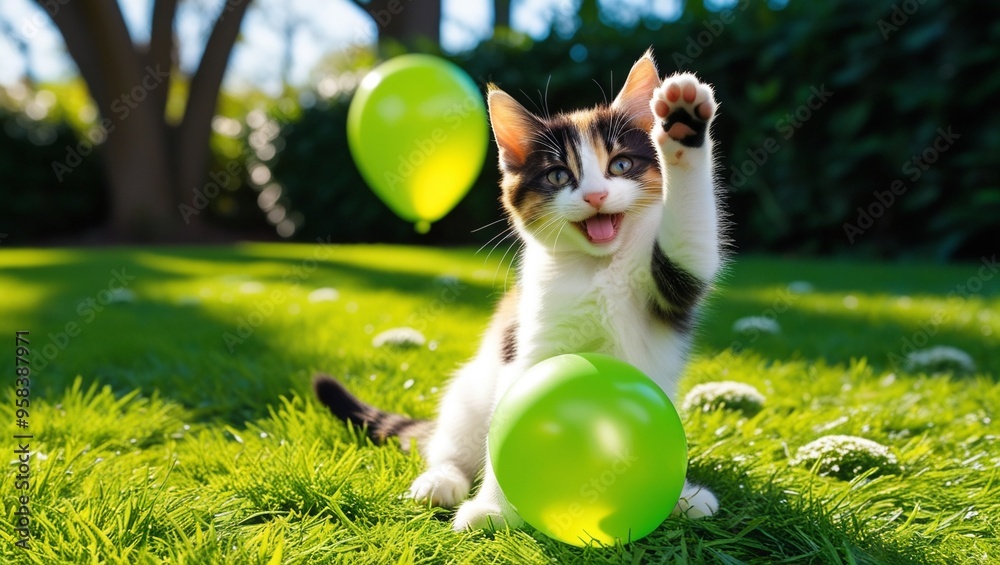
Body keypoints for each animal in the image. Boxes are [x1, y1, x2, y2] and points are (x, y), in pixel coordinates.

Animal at [316, 49, 724, 532]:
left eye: (621, 165)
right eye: (558, 176)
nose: (596, 196)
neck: (597, 268)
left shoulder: (671, 284)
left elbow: (692, 244)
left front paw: (683, 127)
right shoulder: (527, 342)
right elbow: (515, 417)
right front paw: (493, 507)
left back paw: (682, 498)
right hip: (469, 393)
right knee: (450, 444)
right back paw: (441, 480)